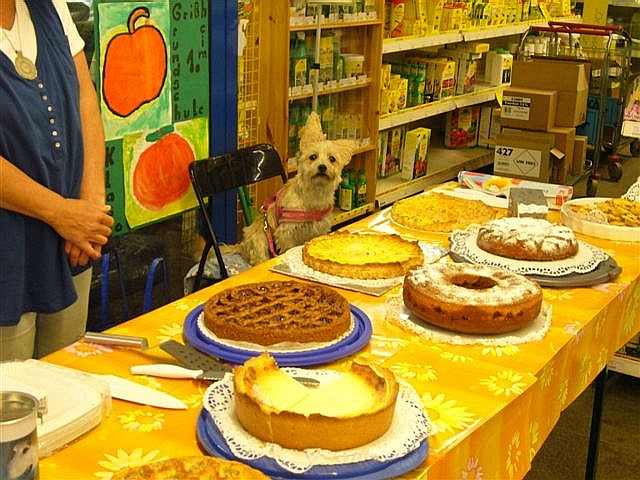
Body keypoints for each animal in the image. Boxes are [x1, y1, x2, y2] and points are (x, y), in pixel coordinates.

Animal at [238, 112, 357, 265]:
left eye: (332, 159)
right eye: (313, 157)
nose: (322, 167)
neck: (314, 194)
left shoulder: (320, 229)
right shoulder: (286, 232)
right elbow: (288, 247)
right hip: (260, 238)